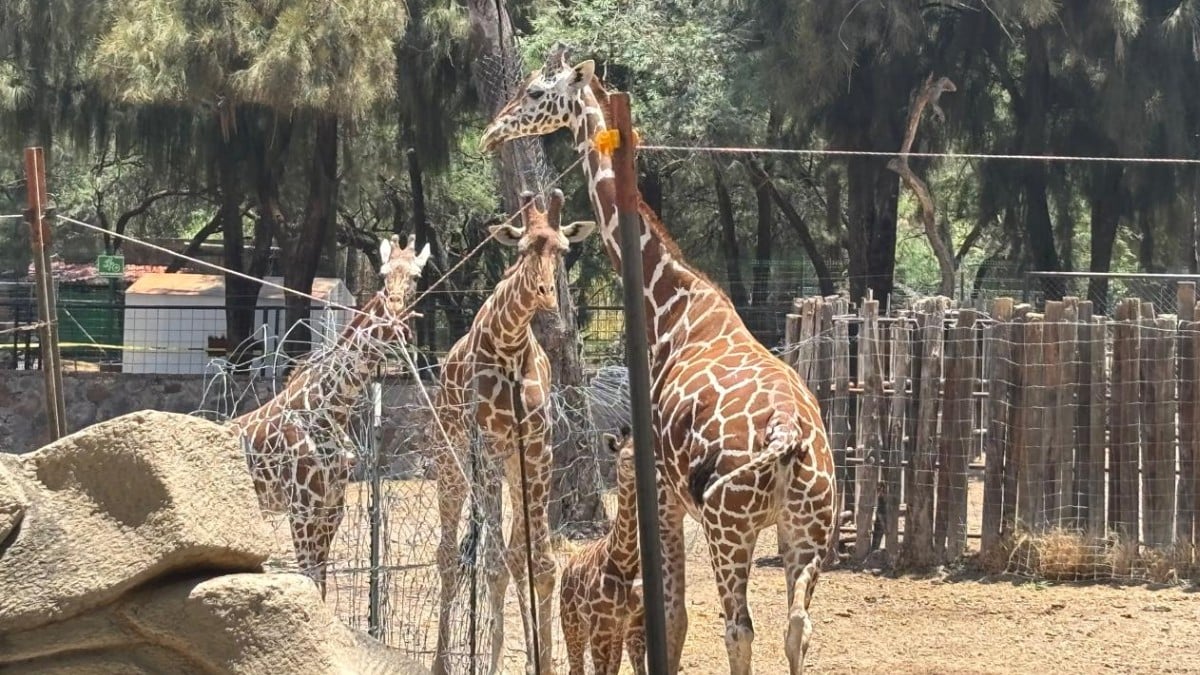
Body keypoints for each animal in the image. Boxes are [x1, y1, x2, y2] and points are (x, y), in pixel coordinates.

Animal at [230, 234, 430, 599]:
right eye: (382, 275)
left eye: (416, 277)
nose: (395, 314)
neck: (332, 407)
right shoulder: (303, 508)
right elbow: (309, 580)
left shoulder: (332, 507)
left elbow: (320, 585)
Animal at [431, 189, 595, 675]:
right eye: (522, 250)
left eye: (563, 249)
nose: (544, 297)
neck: (510, 343)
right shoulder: (486, 448)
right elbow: (492, 563)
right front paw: (493, 659)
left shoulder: (537, 449)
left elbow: (538, 562)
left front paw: (543, 660)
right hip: (451, 459)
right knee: (451, 556)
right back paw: (444, 662)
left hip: (512, 468)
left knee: (512, 553)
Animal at [559, 426, 648, 675]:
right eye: (624, 458)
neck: (624, 560)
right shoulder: (599, 627)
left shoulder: (633, 624)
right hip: (573, 623)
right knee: (576, 667)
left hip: (612, 632)